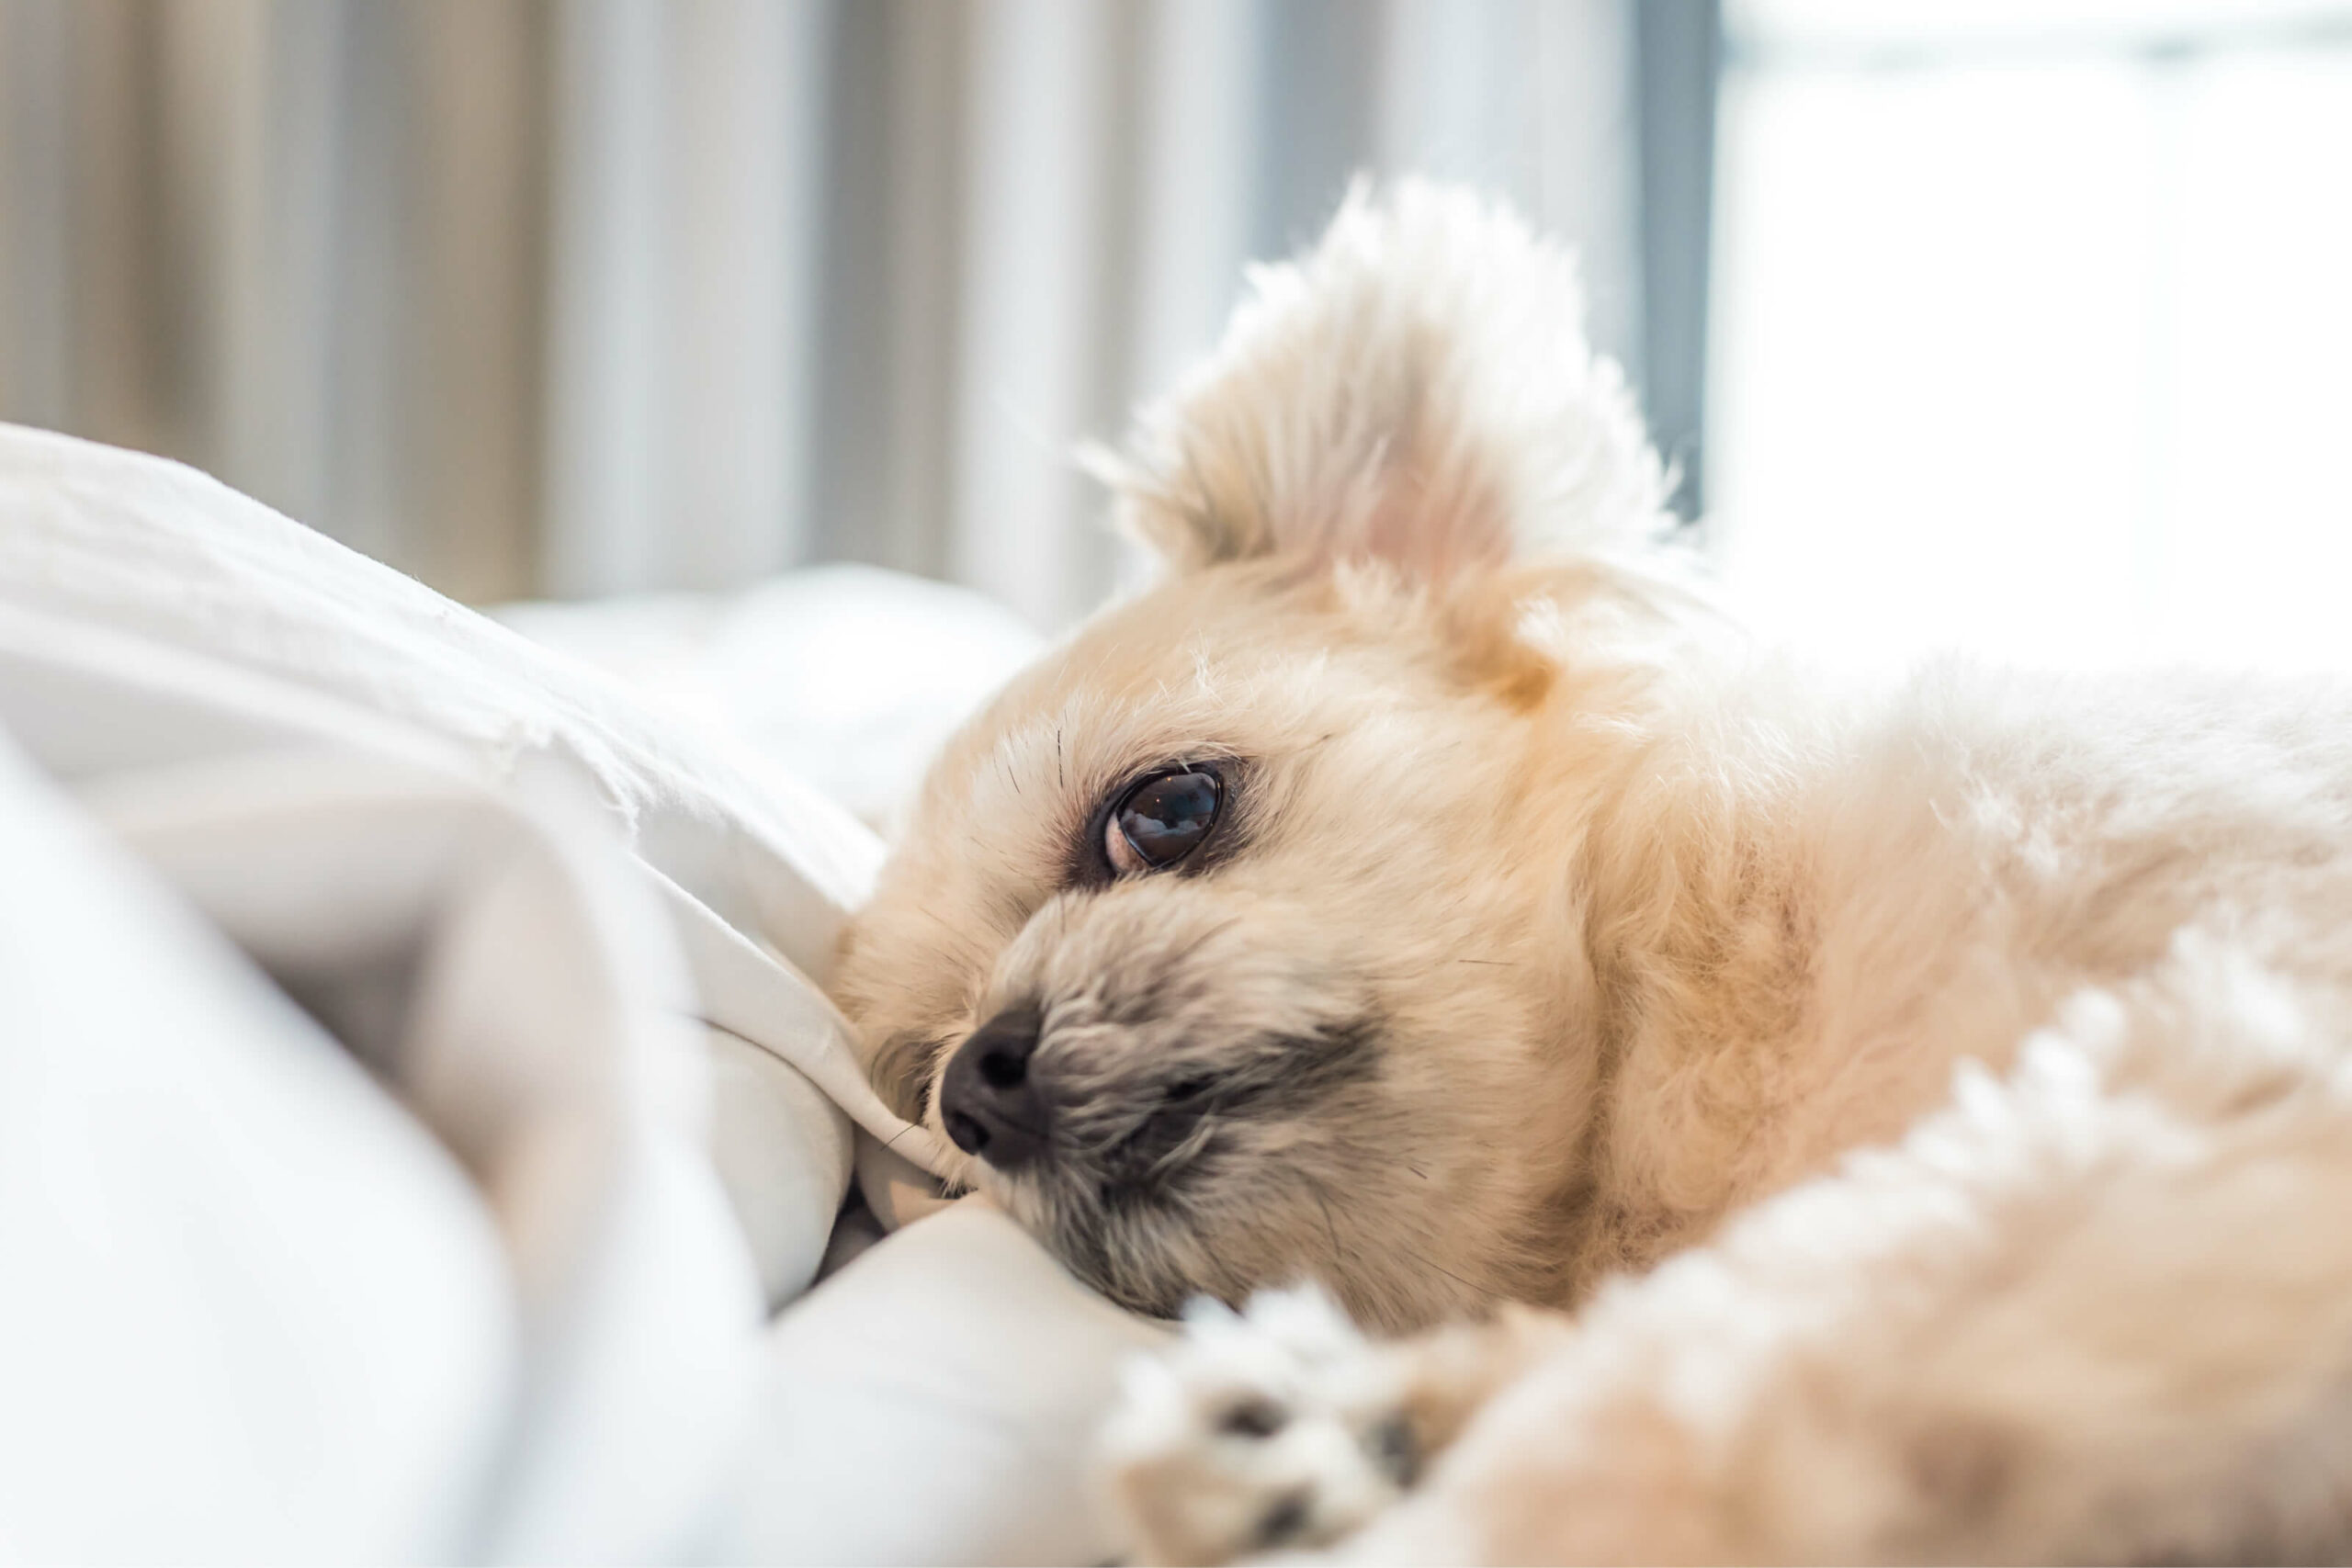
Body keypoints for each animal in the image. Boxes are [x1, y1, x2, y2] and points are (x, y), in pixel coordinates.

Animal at [823, 181, 2352, 1561]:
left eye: (1166, 811)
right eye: (925, 1097)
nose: (981, 1081)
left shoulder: (2199, 1069)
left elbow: (1716, 1383)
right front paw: (1340, 1428)